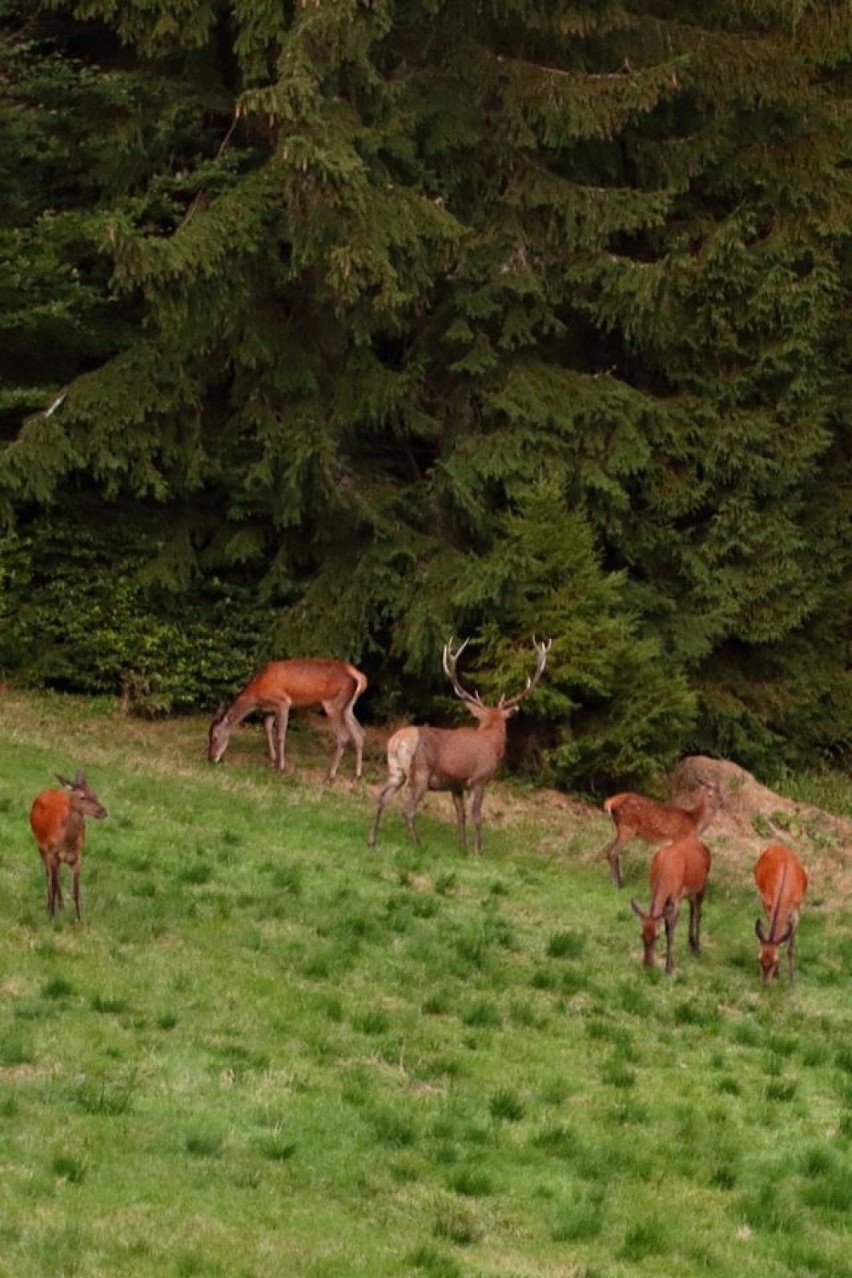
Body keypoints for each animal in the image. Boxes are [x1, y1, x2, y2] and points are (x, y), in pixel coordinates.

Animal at [30, 766, 108, 920]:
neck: (67, 843)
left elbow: (75, 890)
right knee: (48, 876)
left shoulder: (77, 856)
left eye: (95, 794)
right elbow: (53, 884)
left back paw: (61, 906)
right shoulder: (51, 852)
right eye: (82, 797)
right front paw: (51, 916)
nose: (103, 812)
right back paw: (50, 906)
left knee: (57, 877)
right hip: (40, 846)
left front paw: (78, 917)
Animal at [208, 659, 367, 777]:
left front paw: (281, 766)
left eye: (215, 736)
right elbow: (267, 728)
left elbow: (280, 735)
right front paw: (272, 760)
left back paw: (330, 774)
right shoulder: (269, 710)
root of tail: (360, 677)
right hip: (348, 707)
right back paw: (357, 773)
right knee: (359, 733)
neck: (257, 694)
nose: (211, 758)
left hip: (334, 703)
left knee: (344, 735)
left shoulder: (282, 702)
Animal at [365, 633, 549, 853]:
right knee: (408, 809)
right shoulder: (479, 779)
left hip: (395, 770)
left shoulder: (456, 785)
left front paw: (463, 848)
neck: (493, 744)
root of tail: (398, 740)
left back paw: (372, 839)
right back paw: (418, 844)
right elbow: (477, 817)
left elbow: (461, 816)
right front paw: (478, 851)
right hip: (421, 773)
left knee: (381, 798)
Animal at [631, 833, 710, 971]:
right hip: (689, 893)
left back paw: (697, 948)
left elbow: (670, 930)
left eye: (657, 936)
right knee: (692, 909)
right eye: (641, 934)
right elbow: (668, 926)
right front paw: (671, 963)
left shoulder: (675, 898)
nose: (647, 964)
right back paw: (691, 942)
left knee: (698, 913)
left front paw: (668, 967)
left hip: (702, 884)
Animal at [756, 843, 812, 981]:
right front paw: (778, 975)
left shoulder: (796, 911)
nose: (764, 983)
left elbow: (790, 948)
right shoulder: (768, 905)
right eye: (759, 959)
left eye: (775, 961)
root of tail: (778, 846)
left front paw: (791, 981)